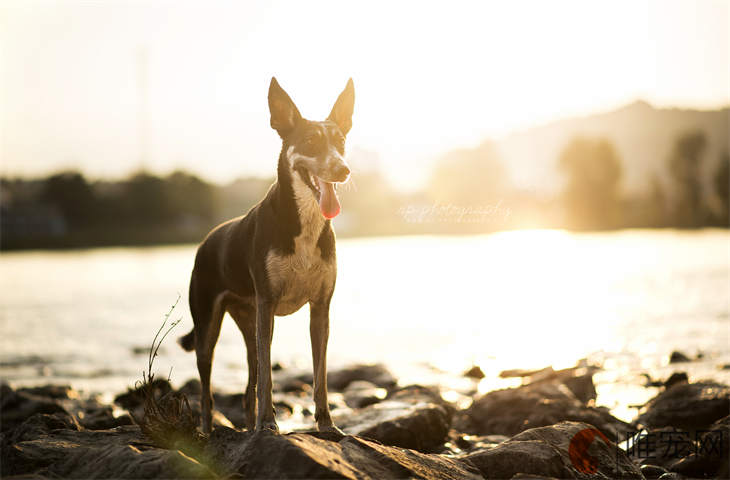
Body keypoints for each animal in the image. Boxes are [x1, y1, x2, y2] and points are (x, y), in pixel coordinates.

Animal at [175, 77, 352, 434]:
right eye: (310, 141)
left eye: (341, 142)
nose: (343, 170)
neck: (304, 221)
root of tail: (206, 241)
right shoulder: (268, 304)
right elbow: (270, 377)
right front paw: (269, 423)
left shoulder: (320, 308)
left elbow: (321, 374)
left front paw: (326, 424)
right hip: (208, 325)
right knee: (207, 389)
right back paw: (208, 430)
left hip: (248, 320)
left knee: (248, 387)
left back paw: (246, 427)